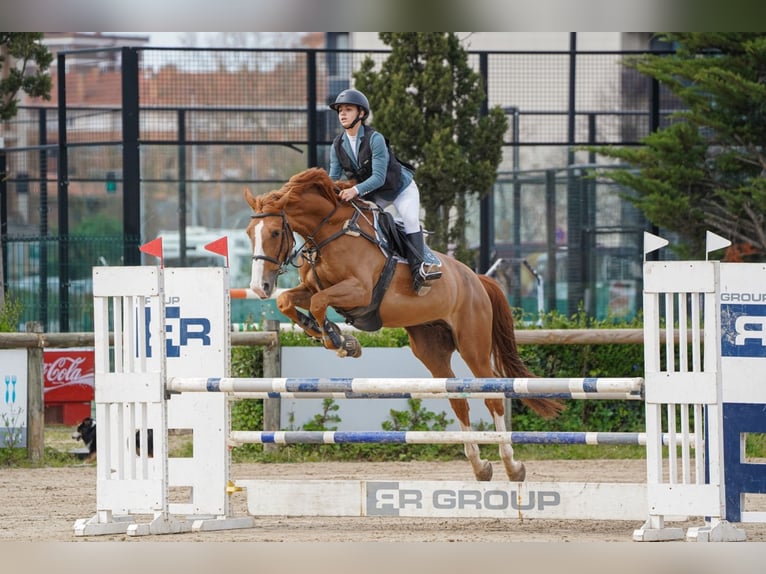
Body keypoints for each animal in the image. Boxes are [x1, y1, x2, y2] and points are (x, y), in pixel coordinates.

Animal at [246, 169, 564, 484]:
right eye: (250, 233)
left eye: (275, 232)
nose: (260, 287)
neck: (329, 232)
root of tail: (476, 278)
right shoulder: (313, 288)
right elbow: (289, 301)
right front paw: (335, 337)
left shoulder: (359, 291)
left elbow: (318, 302)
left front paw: (339, 340)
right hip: (430, 349)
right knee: (457, 399)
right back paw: (480, 466)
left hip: (473, 345)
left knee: (493, 394)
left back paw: (512, 466)